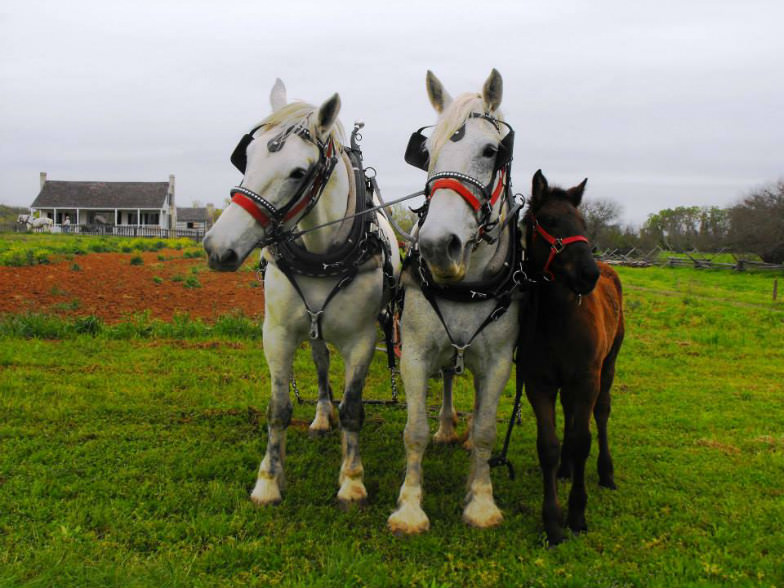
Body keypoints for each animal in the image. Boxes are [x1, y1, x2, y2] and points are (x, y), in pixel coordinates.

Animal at [204, 80, 398, 508]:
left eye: (298, 173)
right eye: (247, 157)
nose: (217, 248)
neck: (321, 254)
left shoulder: (362, 340)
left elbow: (354, 408)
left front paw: (352, 480)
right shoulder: (276, 334)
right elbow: (278, 407)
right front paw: (268, 481)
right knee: (322, 363)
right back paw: (323, 415)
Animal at [386, 69, 520, 532]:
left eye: (491, 150)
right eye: (427, 153)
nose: (438, 247)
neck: (466, 284)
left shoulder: (497, 362)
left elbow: (485, 432)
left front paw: (480, 501)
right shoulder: (415, 353)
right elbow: (414, 431)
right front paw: (409, 507)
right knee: (445, 376)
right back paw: (446, 427)